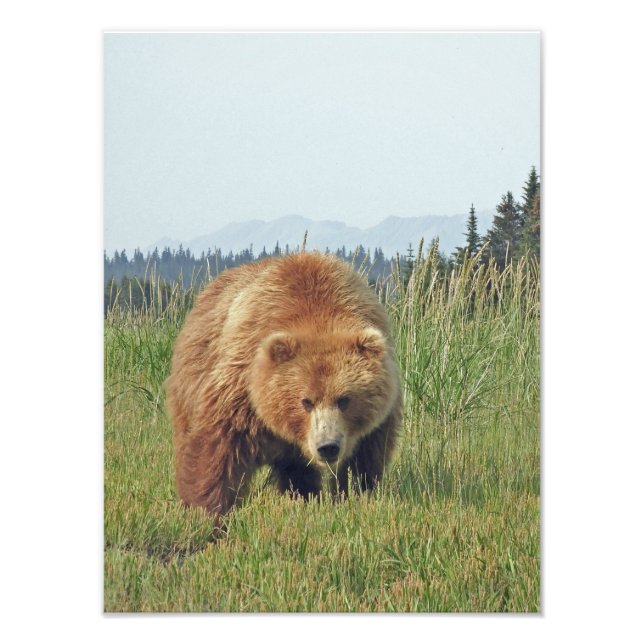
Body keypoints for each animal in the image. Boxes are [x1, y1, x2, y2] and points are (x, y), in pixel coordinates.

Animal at [165, 251, 402, 519]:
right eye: (306, 401)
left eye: (344, 399)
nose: (327, 447)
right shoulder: (243, 387)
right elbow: (218, 446)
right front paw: (205, 510)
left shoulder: (376, 420)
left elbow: (363, 461)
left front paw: (356, 494)